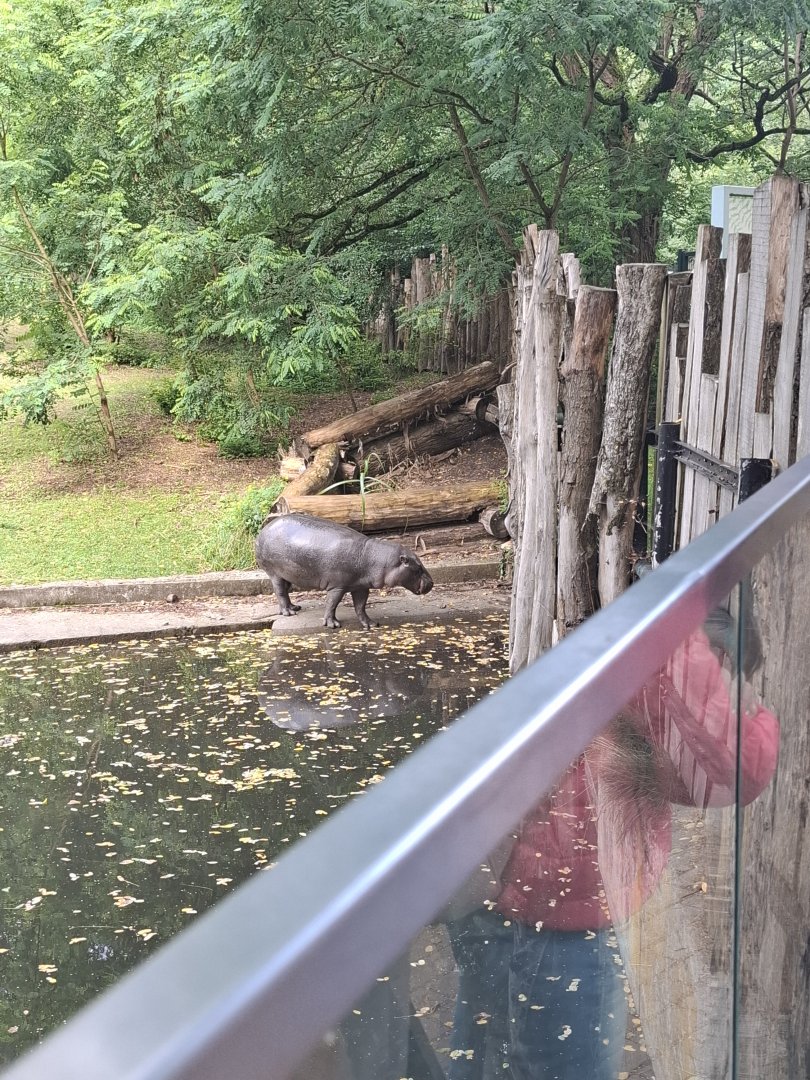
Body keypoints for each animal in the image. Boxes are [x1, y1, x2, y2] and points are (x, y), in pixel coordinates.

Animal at [255, 513, 433, 629]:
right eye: (418, 567)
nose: (432, 582)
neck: (374, 557)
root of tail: (265, 528)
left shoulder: (361, 587)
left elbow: (361, 606)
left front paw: (370, 624)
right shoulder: (337, 586)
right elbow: (332, 604)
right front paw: (333, 624)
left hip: (288, 575)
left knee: (285, 591)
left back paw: (294, 607)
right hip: (274, 573)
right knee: (280, 591)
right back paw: (289, 613)